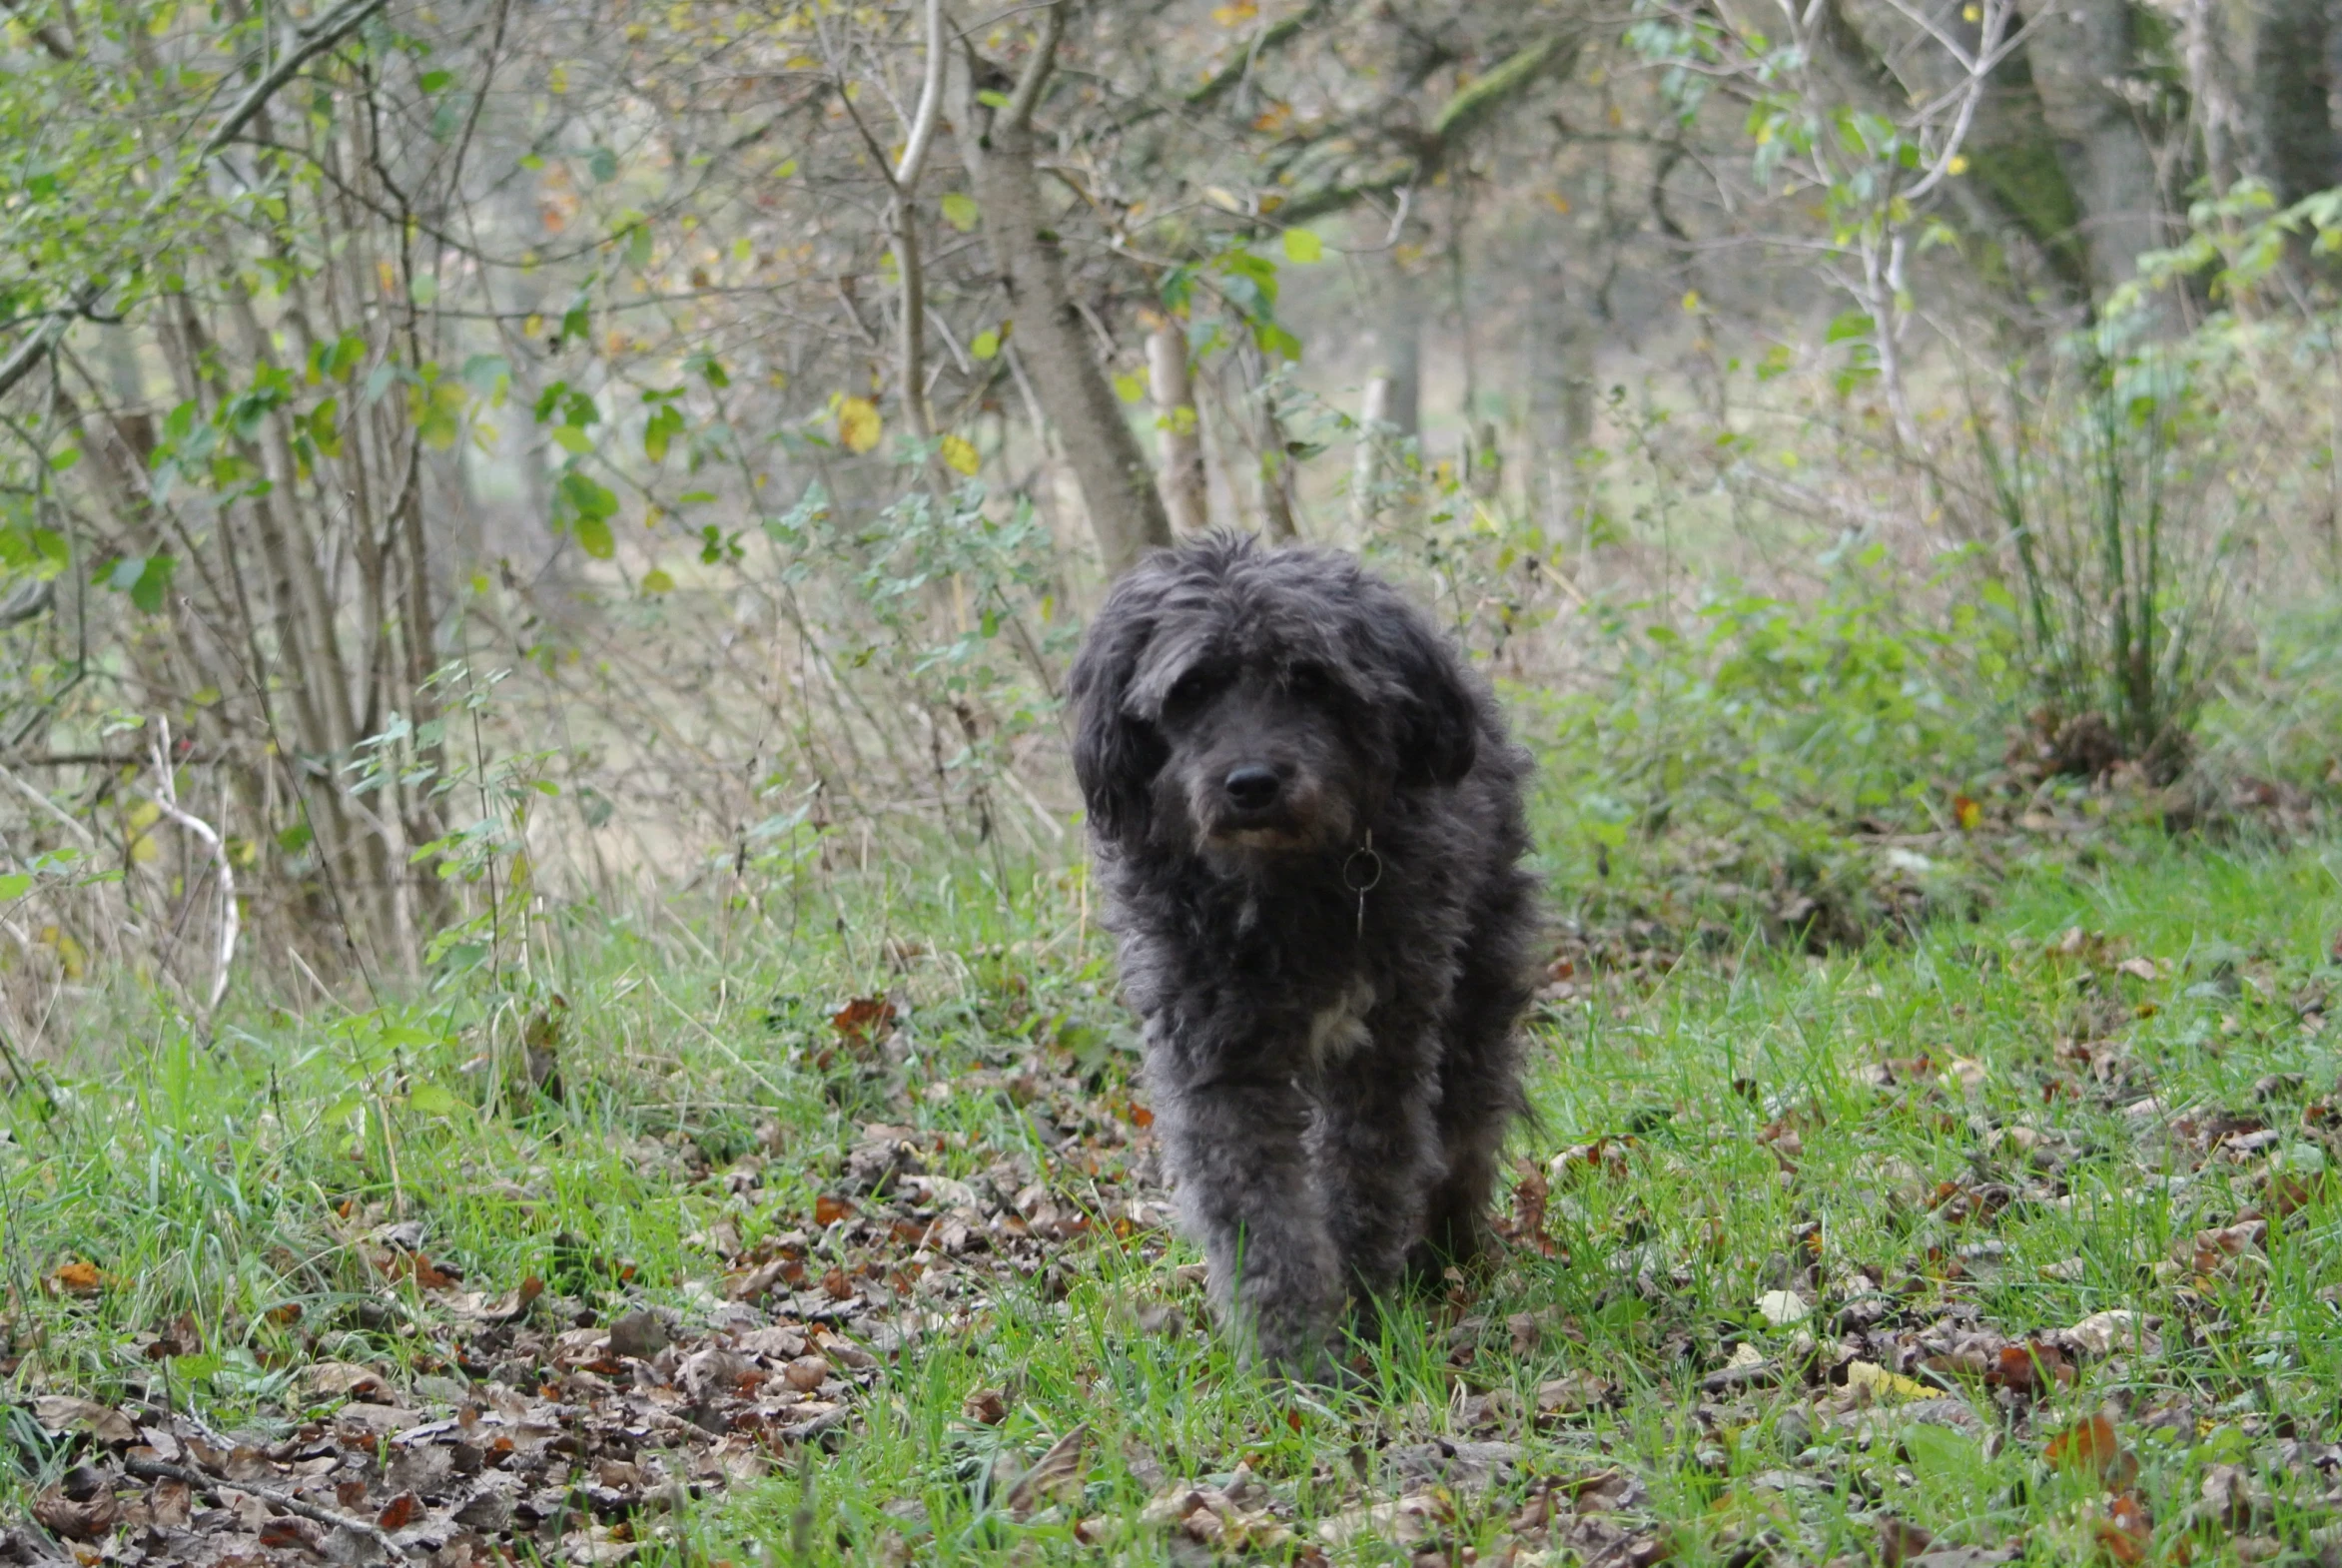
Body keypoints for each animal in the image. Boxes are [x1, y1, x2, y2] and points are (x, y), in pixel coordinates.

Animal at [1073, 530, 1545, 1375]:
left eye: (1310, 680)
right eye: (1193, 689)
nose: (1251, 783)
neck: (1282, 888)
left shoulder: (1380, 1047)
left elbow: (1366, 1179)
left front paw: (1361, 1315)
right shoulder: (1217, 1065)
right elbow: (1261, 1219)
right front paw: (1292, 1359)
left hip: (1471, 996)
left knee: (1465, 1126)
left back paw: (1448, 1255)